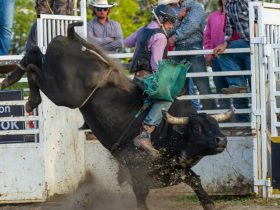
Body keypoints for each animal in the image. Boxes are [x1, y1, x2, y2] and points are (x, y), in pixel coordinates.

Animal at [1, 22, 234, 210]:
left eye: (215, 126)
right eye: (196, 128)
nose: (221, 140)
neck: (170, 131)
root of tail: (71, 36)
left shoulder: (176, 171)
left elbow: (196, 181)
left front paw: (208, 203)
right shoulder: (138, 174)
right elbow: (141, 197)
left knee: (34, 54)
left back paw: (14, 79)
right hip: (63, 93)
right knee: (34, 69)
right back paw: (26, 93)